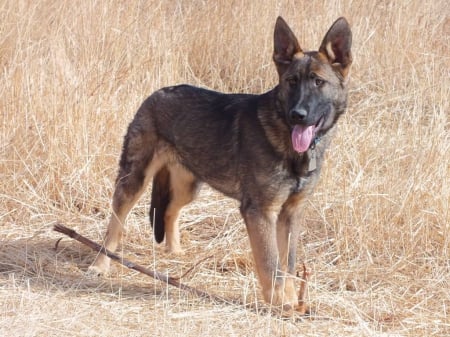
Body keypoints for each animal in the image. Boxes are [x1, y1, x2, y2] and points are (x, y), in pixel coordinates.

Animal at [89, 17, 354, 312]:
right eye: (291, 81)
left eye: (318, 82)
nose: (298, 115)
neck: (286, 139)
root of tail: (156, 94)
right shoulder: (260, 212)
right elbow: (271, 265)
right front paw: (280, 306)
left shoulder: (290, 213)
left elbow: (288, 265)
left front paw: (291, 302)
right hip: (134, 180)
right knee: (114, 224)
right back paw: (100, 264)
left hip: (188, 187)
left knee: (170, 210)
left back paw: (175, 252)